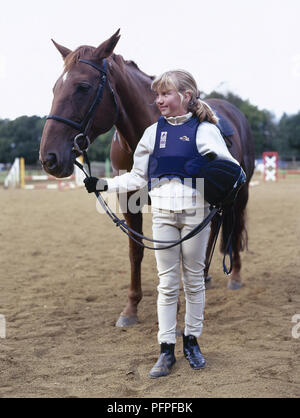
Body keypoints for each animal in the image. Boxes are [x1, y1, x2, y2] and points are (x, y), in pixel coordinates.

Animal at [39, 31, 254, 328]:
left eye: (82, 86)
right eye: (54, 89)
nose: (49, 157)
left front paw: (175, 308)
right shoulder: (129, 202)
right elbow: (136, 252)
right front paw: (130, 309)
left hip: (240, 193)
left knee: (234, 226)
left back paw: (234, 277)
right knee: (212, 230)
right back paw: (205, 276)